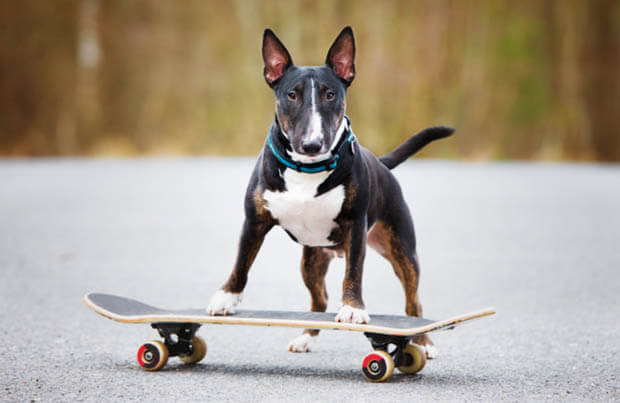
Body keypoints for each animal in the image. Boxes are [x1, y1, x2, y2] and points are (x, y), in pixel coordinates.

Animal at [206, 26, 452, 358]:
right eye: (291, 95)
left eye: (330, 94)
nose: (312, 144)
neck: (307, 169)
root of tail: (381, 162)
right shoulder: (254, 221)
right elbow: (241, 262)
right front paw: (226, 298)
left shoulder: (355, 226)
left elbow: (354, 272)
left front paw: (353, 309)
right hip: (312, 259)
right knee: (319, 298)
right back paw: (305, 338)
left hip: (401, 248)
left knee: (414, 302)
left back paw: (423, 343)